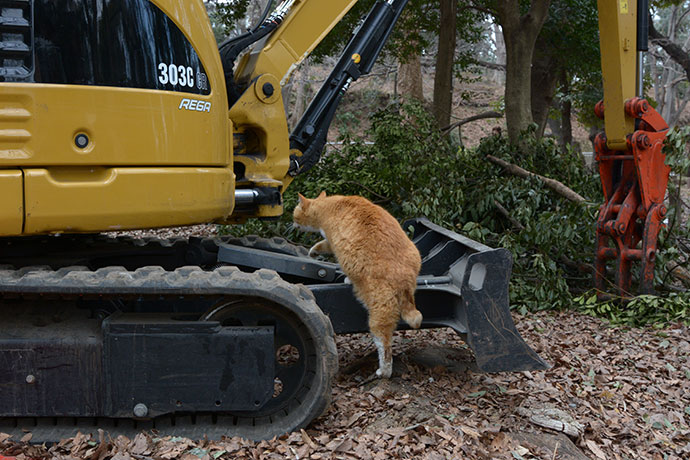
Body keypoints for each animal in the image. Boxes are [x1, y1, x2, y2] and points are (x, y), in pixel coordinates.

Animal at [290, 190, 420, 378]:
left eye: (295, 213)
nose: (292, 223)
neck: (330, 205)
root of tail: (405, 276)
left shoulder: (335, 243)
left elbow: (326, 247)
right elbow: (322, 244)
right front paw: (313, 251)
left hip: (380, 311)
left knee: (385, 344)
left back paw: (384, 371)